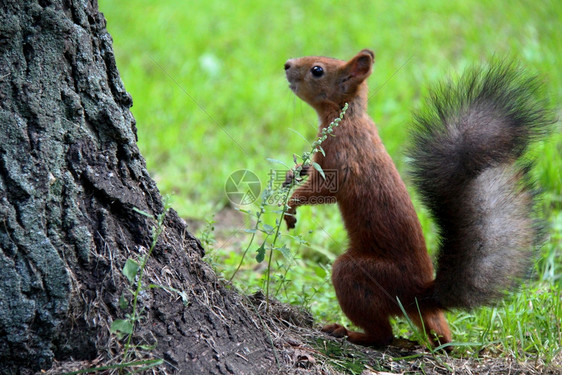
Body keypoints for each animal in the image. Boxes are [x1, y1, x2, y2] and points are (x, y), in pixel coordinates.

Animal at [282, 49, 548, 346]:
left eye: (317, 70)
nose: (287, 65)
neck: (347, 117)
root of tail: (417, 294)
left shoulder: (341, 157)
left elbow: (324, 191)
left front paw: (289, 208)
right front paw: (294, 172)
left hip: (357, 275)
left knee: (383, 335)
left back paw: (348, 332)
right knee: (436, 333)